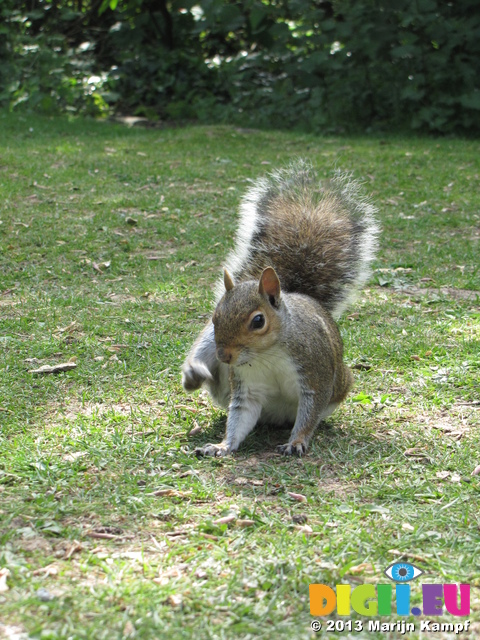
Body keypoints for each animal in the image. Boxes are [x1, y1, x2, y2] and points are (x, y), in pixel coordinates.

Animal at [181, 162, 378, 458]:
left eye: (258, 321)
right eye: (215, 318)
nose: (224, 356)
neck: (267, 354)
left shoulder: (314, 372)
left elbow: (310, 411)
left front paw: (297, 441)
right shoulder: (246, 385)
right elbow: (240, 415)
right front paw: (223, 445)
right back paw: (195, 373)